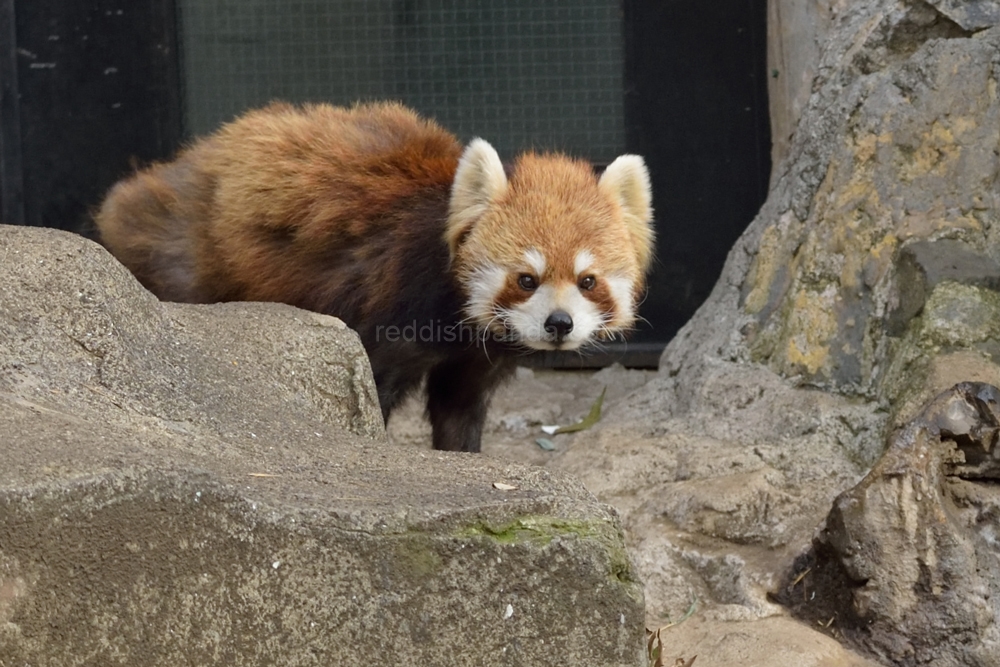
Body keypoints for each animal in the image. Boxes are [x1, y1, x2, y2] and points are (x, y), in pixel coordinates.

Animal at [94, 100, 656, 454]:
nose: (559, 324)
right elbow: (374, 388)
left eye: (587, 281)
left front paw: (464, 458)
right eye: (526, 279)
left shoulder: (477, 358)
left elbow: (459, 412)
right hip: (189, 257)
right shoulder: (397, 307)